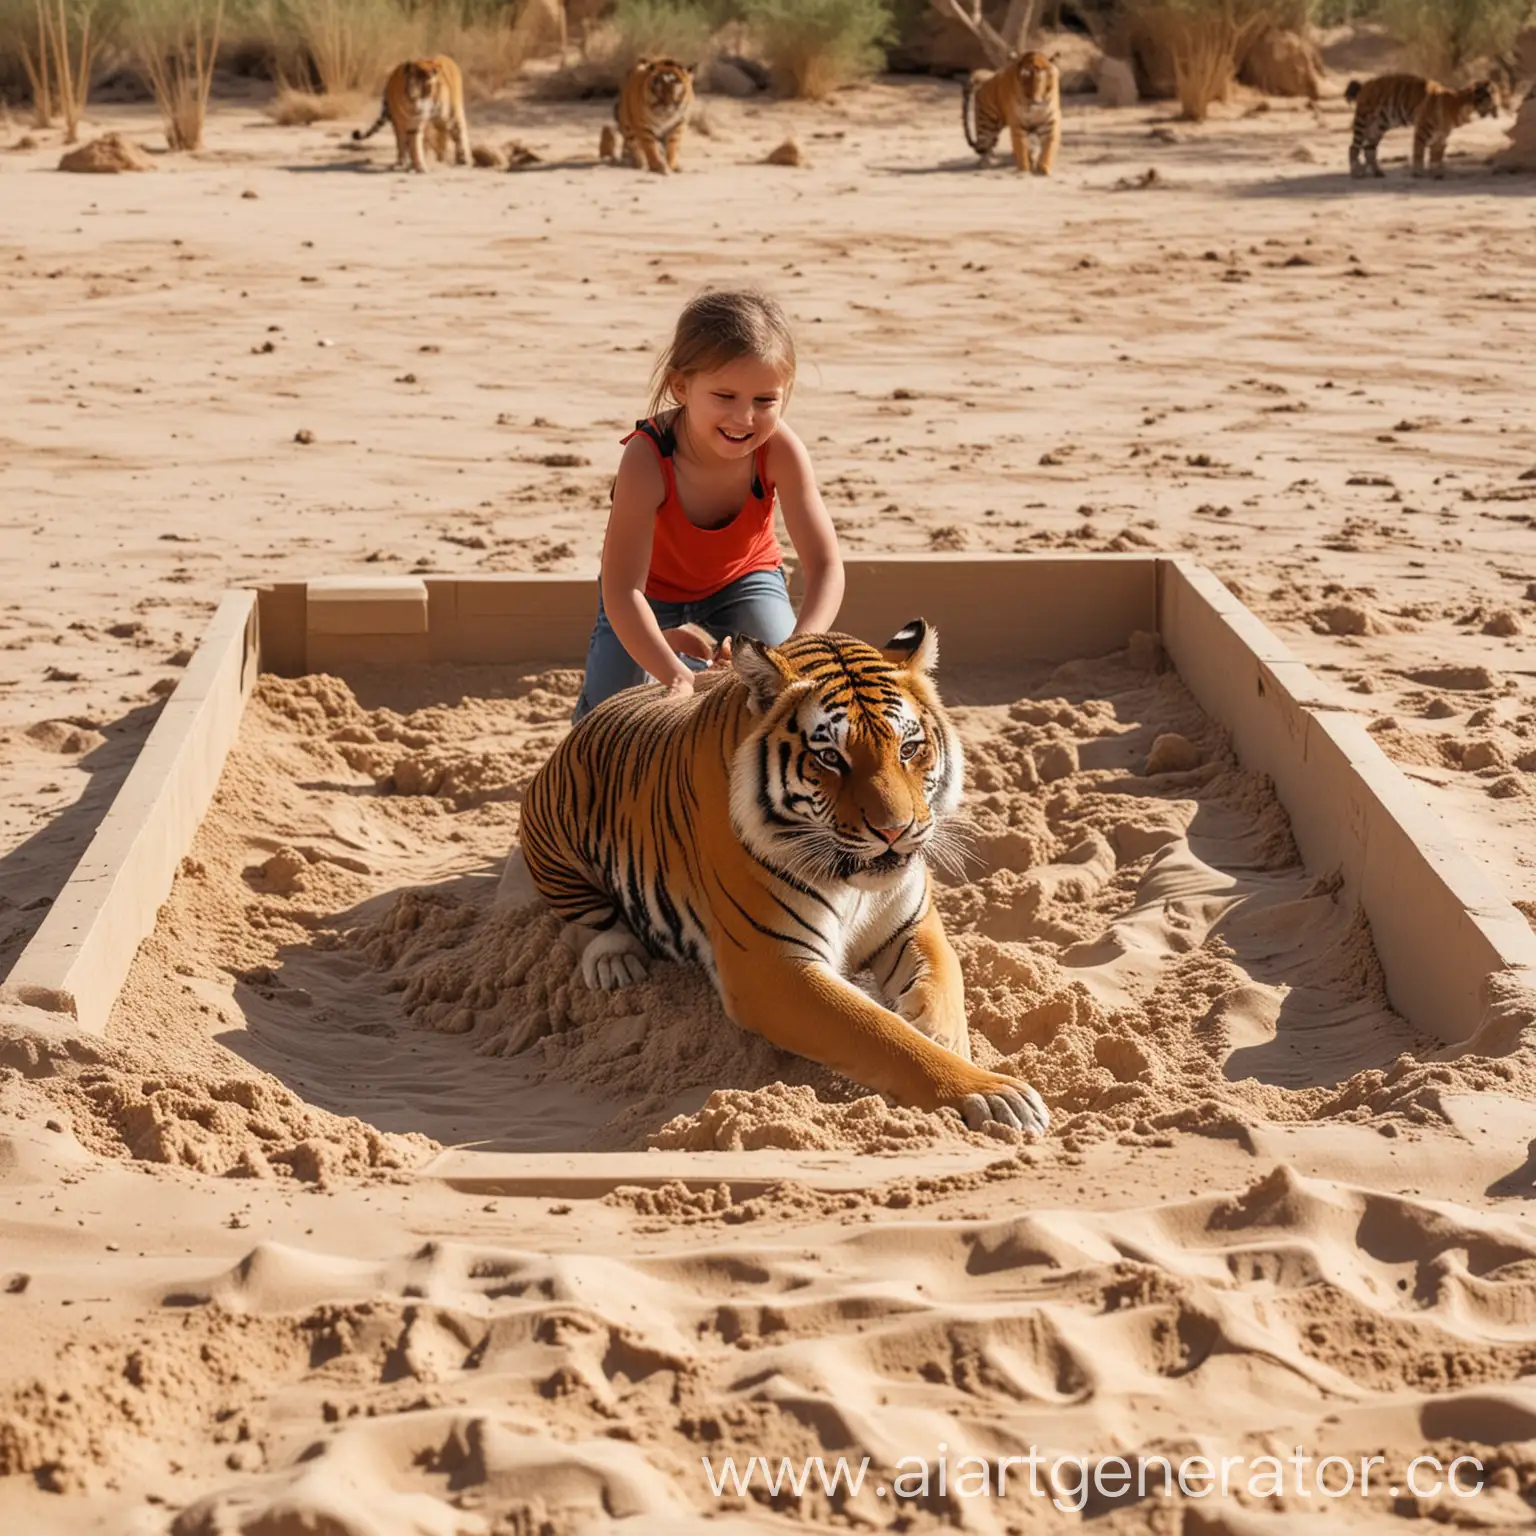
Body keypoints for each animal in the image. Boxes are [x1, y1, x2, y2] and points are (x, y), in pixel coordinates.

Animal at [509, 617, 1050, 1136]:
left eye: (908, 748)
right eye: (830, 757)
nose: (896, 831)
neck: (854, 885)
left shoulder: (913, 924)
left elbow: (944, 986)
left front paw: (944, 1038)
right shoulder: (770, 966)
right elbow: (882, 1034)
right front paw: (992, 1094)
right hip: (552, 834)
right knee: (586, 923)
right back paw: (615, 962)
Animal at [1351, 73, 1492, 179]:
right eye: (1488, 98)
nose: (1493, 108)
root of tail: (1365, 84)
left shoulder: (1440, 136)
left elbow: (1436, 155)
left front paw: (1437, 174)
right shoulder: (1423, 130)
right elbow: (1419, 152)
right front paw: (1418, 173)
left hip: (1378, 127)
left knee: (1369, 149)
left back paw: (1378, 173)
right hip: (1362, 123)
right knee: (1353, 147)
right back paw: (1356, 173)